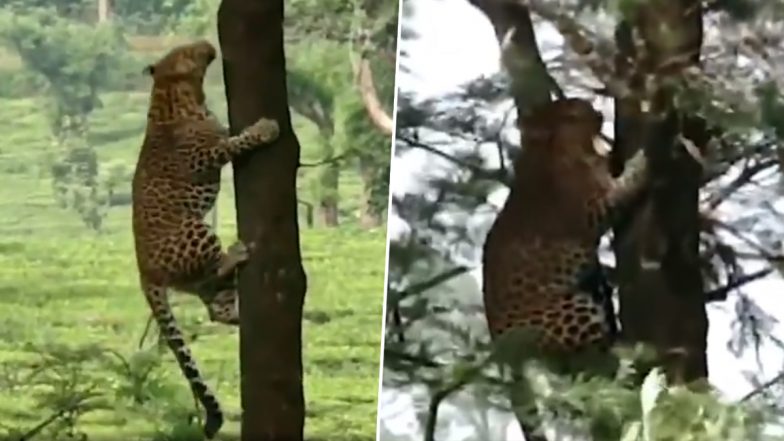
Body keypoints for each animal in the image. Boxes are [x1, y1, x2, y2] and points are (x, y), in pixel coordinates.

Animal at [132, 39, 282, 438]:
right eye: (185, 50)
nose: (206, 42)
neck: (176, 97)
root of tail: (144, 273)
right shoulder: (208, 154)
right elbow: (236, 142)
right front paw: (266, 128)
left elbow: (230, 133)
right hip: (195, 231)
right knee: (217, 270)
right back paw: (237, 252)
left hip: (200, 277)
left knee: (216, 308)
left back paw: (240, 314)